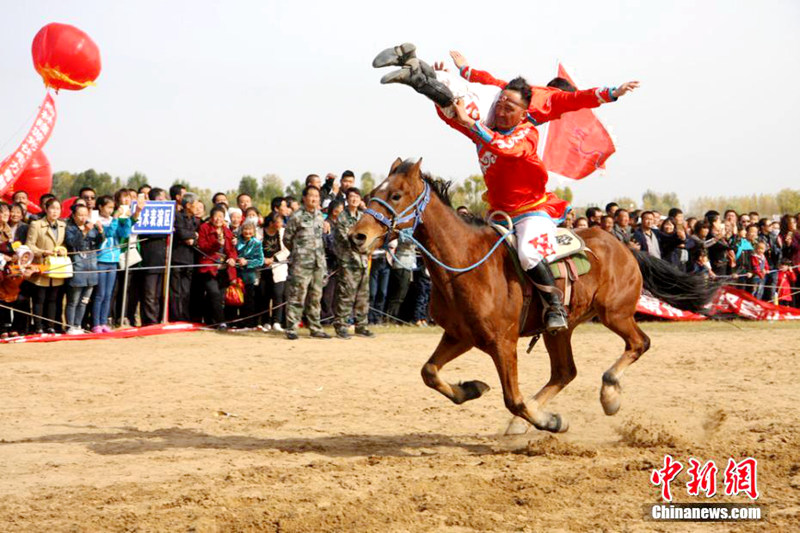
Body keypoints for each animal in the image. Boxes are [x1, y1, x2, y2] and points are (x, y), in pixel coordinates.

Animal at [350, 157, 712, 432]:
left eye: (396, 195)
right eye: (371, 193)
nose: (357, 236)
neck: (463, 264)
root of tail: (624, 246)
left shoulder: (502, 342)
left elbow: (512, 398)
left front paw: (550, 422)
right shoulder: (460, 335)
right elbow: (429, 372)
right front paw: (472, 389)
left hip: (615, 314)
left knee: (639, 344)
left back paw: (609, 395)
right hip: (559, 329)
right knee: (565, 371)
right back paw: (525, 421)